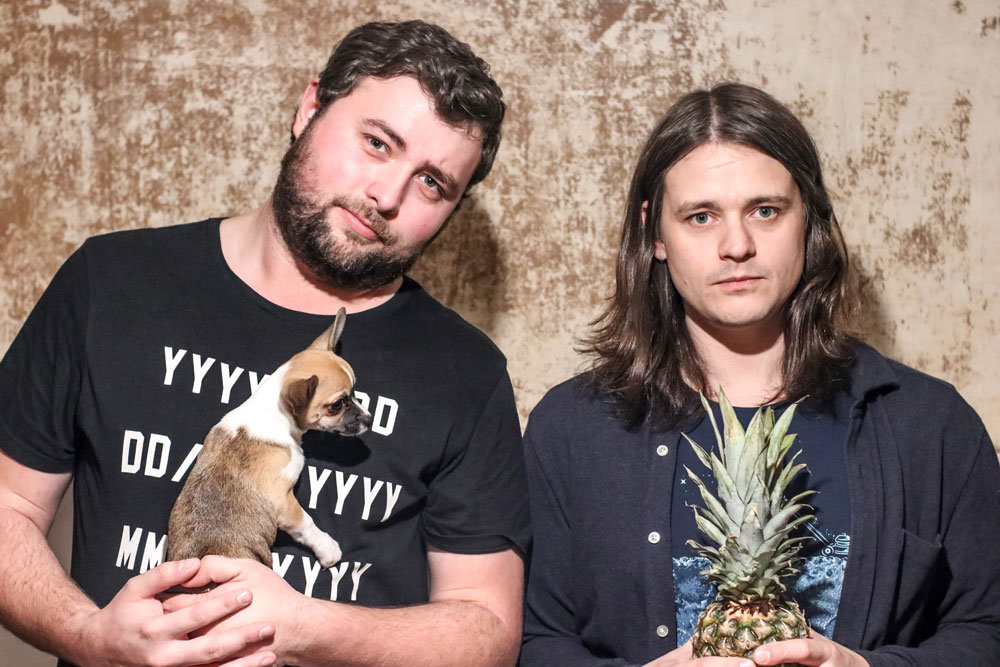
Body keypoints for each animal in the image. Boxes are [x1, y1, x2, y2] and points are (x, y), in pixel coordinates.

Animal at [167, 307, 371, 569]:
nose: (369, 419)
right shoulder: (284, 504)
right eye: (337, 405)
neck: (274, 412)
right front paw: (327, 548)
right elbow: (307, 524)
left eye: (354, 394)